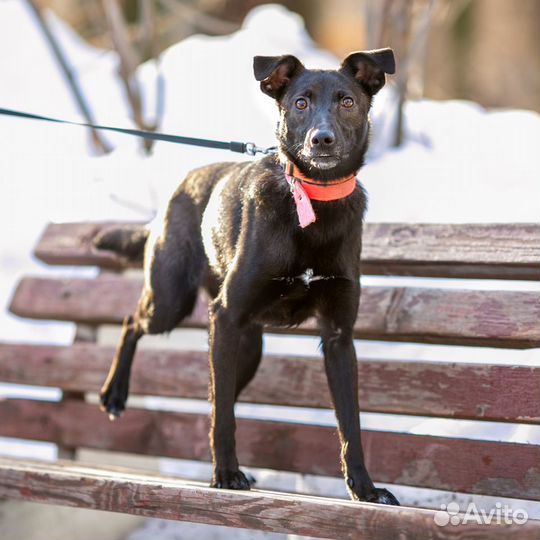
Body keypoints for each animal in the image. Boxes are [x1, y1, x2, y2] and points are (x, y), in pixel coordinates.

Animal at [96, 47, 400, 506]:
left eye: (347, 101)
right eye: (300, 103)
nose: (322, 139)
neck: (312, 201)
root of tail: (176, 190)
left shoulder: (339, 338)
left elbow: (351, 423)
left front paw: (364, 488)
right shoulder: (224, 316)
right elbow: (223, 416)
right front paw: (225, 475)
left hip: (249, 346)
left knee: (219, 394)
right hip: (173, 302)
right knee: (134, 323)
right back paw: (115, 394)